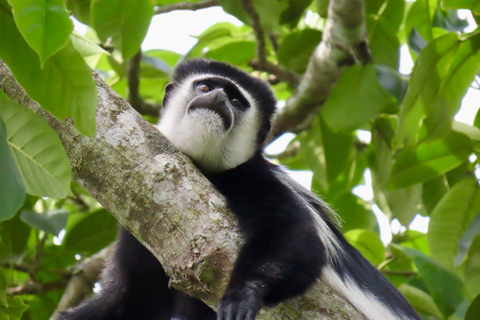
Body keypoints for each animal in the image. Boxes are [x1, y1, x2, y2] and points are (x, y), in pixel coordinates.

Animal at [61, 60, 420, 320]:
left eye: (236, 100)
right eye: (206, 86)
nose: (219, 98)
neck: (206, 169)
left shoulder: (251, 178)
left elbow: (293, 236)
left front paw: (241, 296)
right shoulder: (140, 223)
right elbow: (131, 301)